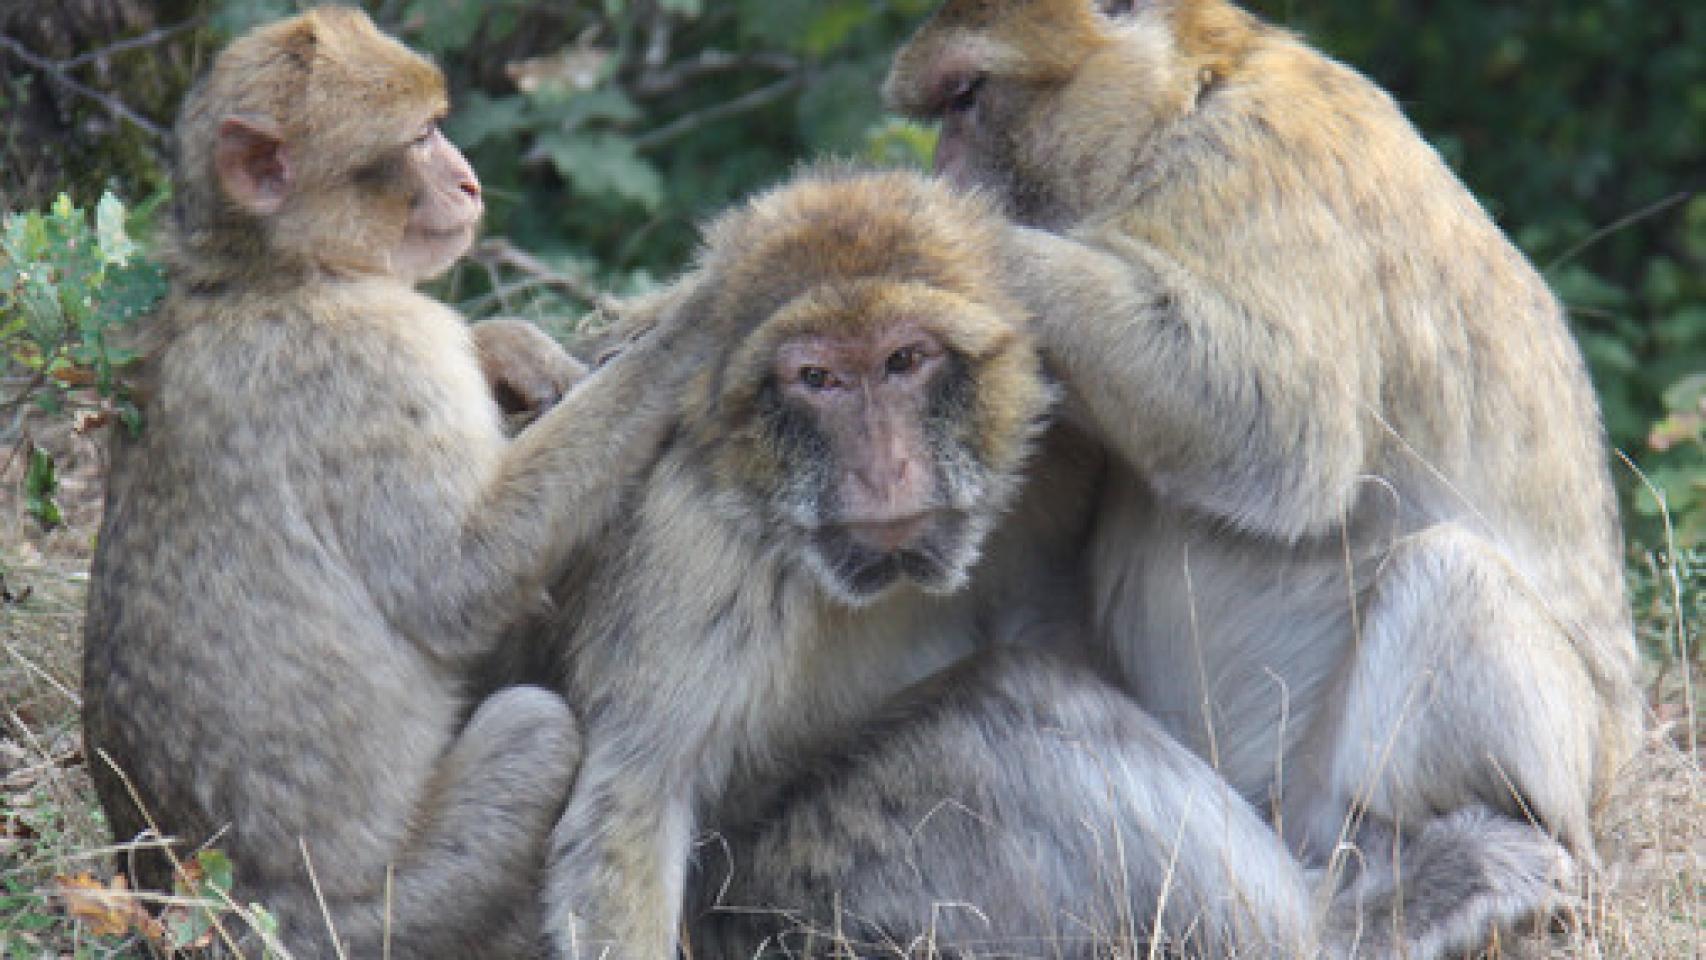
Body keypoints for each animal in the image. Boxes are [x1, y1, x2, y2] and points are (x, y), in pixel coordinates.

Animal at [80, 9, 719, 958]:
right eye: (419, 138)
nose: (466, 179)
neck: (266, 270)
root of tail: (191, 908)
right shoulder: (376, 357)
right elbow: (457, 584)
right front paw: (709, 317)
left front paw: (513, 346)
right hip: (388, 918)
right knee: (535, 732)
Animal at [884, 0, 1640, 951]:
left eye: (966, 97)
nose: (942, 167)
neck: (1188, 102)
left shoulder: (1254, 167)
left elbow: (1277, 423)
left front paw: (953, 237)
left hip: (1542, 776)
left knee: (1449, 574)